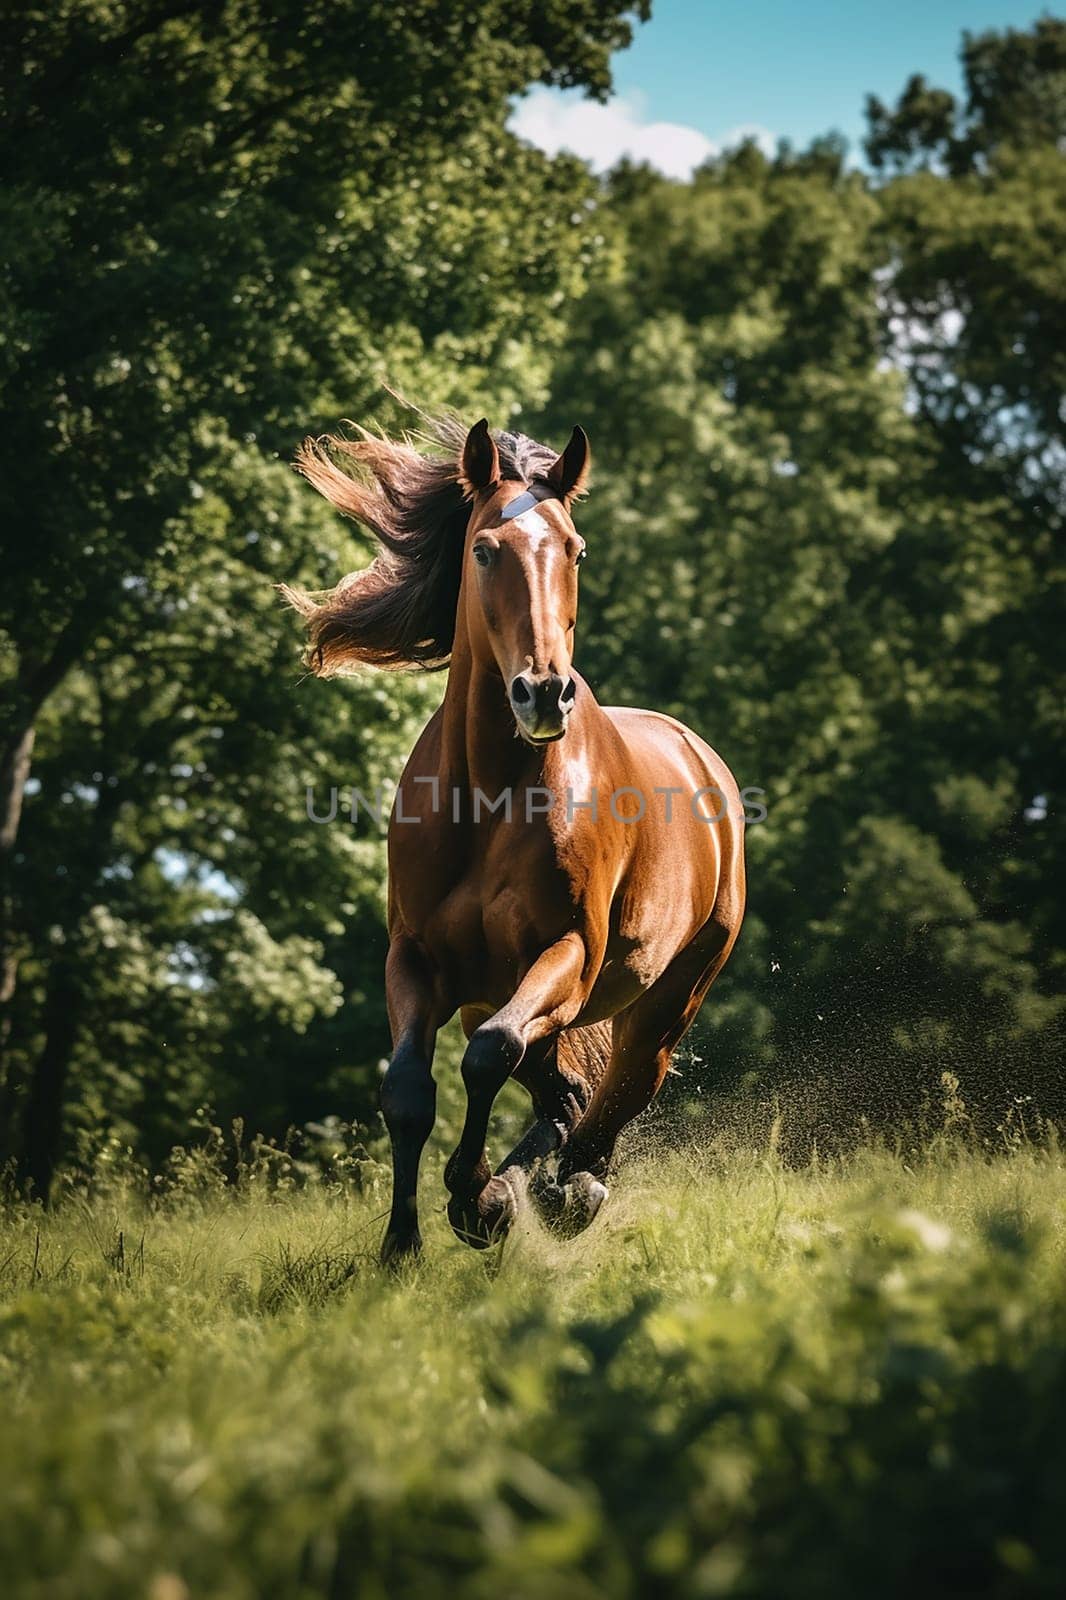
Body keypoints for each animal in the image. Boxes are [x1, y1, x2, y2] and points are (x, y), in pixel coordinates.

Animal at [284, 412, 745, 1260]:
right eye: (483, 549)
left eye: (575, 548)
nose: (543, 693)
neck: (487, 801)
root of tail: (704, 761)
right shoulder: (418, 959)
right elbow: (409, 1089)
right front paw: (403, 1244)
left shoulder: (567, 955)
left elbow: (491, 1053)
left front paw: (473, 1194)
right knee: (565, 1093)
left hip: (670, 993)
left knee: (616, 1090)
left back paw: (568, 1193)